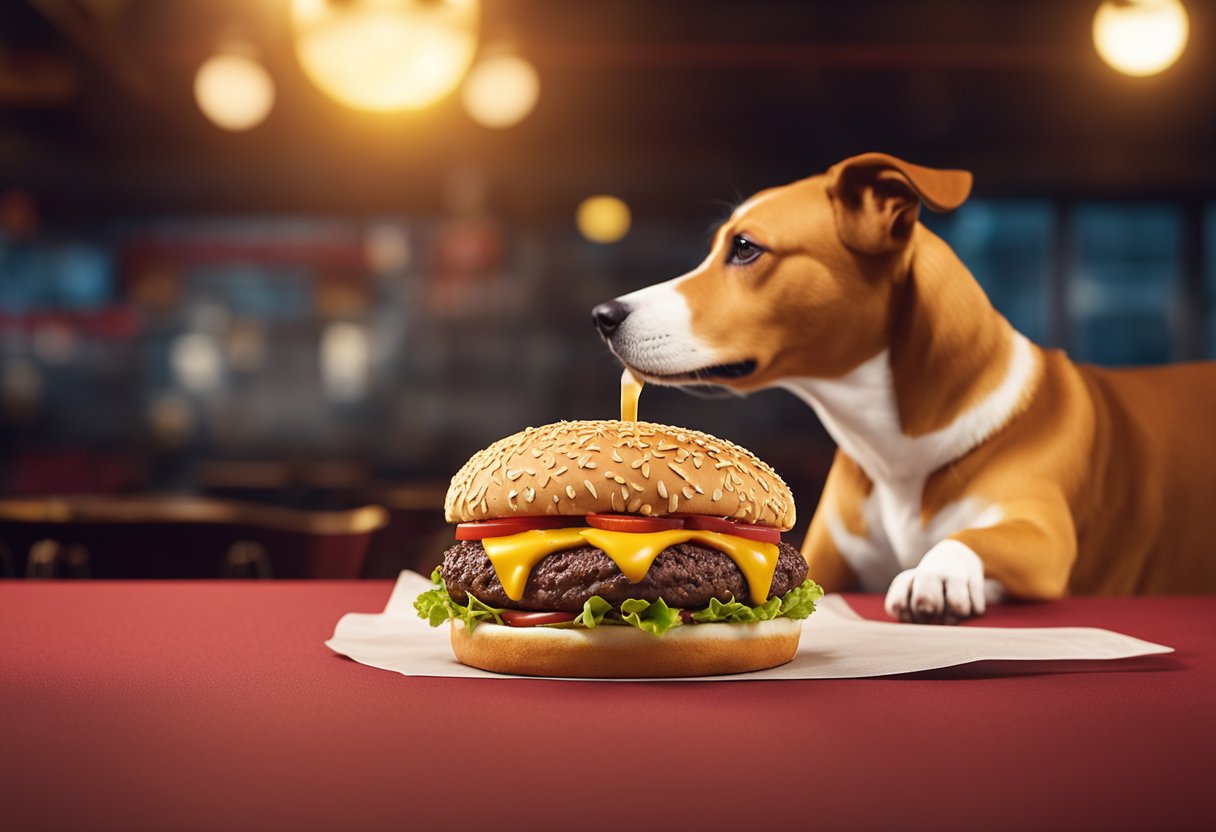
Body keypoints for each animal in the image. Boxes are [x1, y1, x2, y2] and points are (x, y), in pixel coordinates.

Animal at [595, 152, 1216, 622]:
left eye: (745, 248)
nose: (604, 314)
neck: (895, 448)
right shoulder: (827, 554)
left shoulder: (1041, 537)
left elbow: (977, 538)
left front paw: (937, 575)